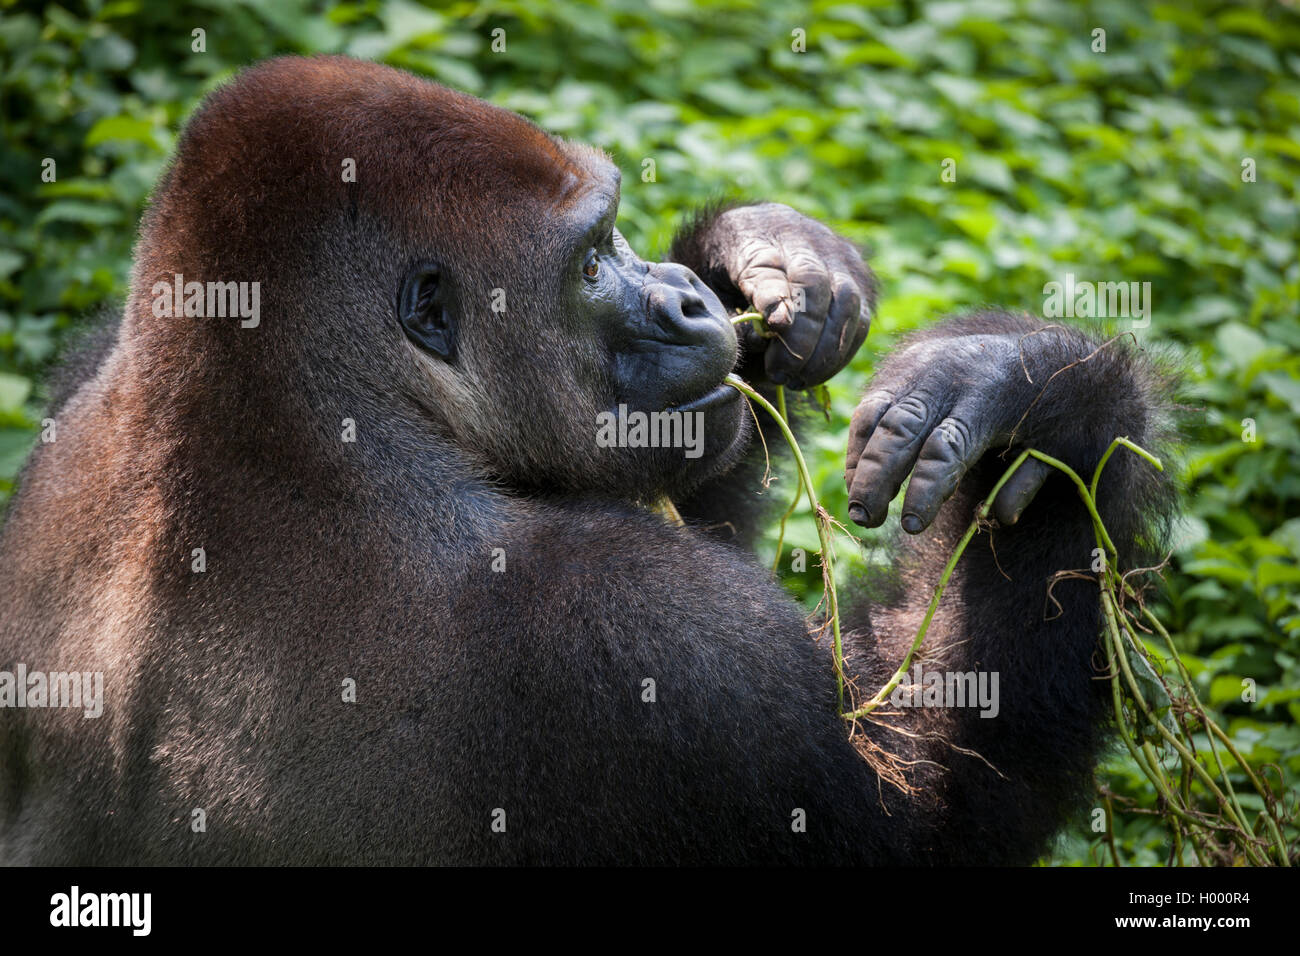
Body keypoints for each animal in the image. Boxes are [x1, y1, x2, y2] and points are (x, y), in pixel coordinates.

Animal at [0, 57, 1180, 868]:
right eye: (591, 262)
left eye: (616, 238)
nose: (690, 300)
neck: (286, 416)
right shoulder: (651, 635)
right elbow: (931, 824)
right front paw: (1058, 403)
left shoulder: (92, 378)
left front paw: (762, 253)